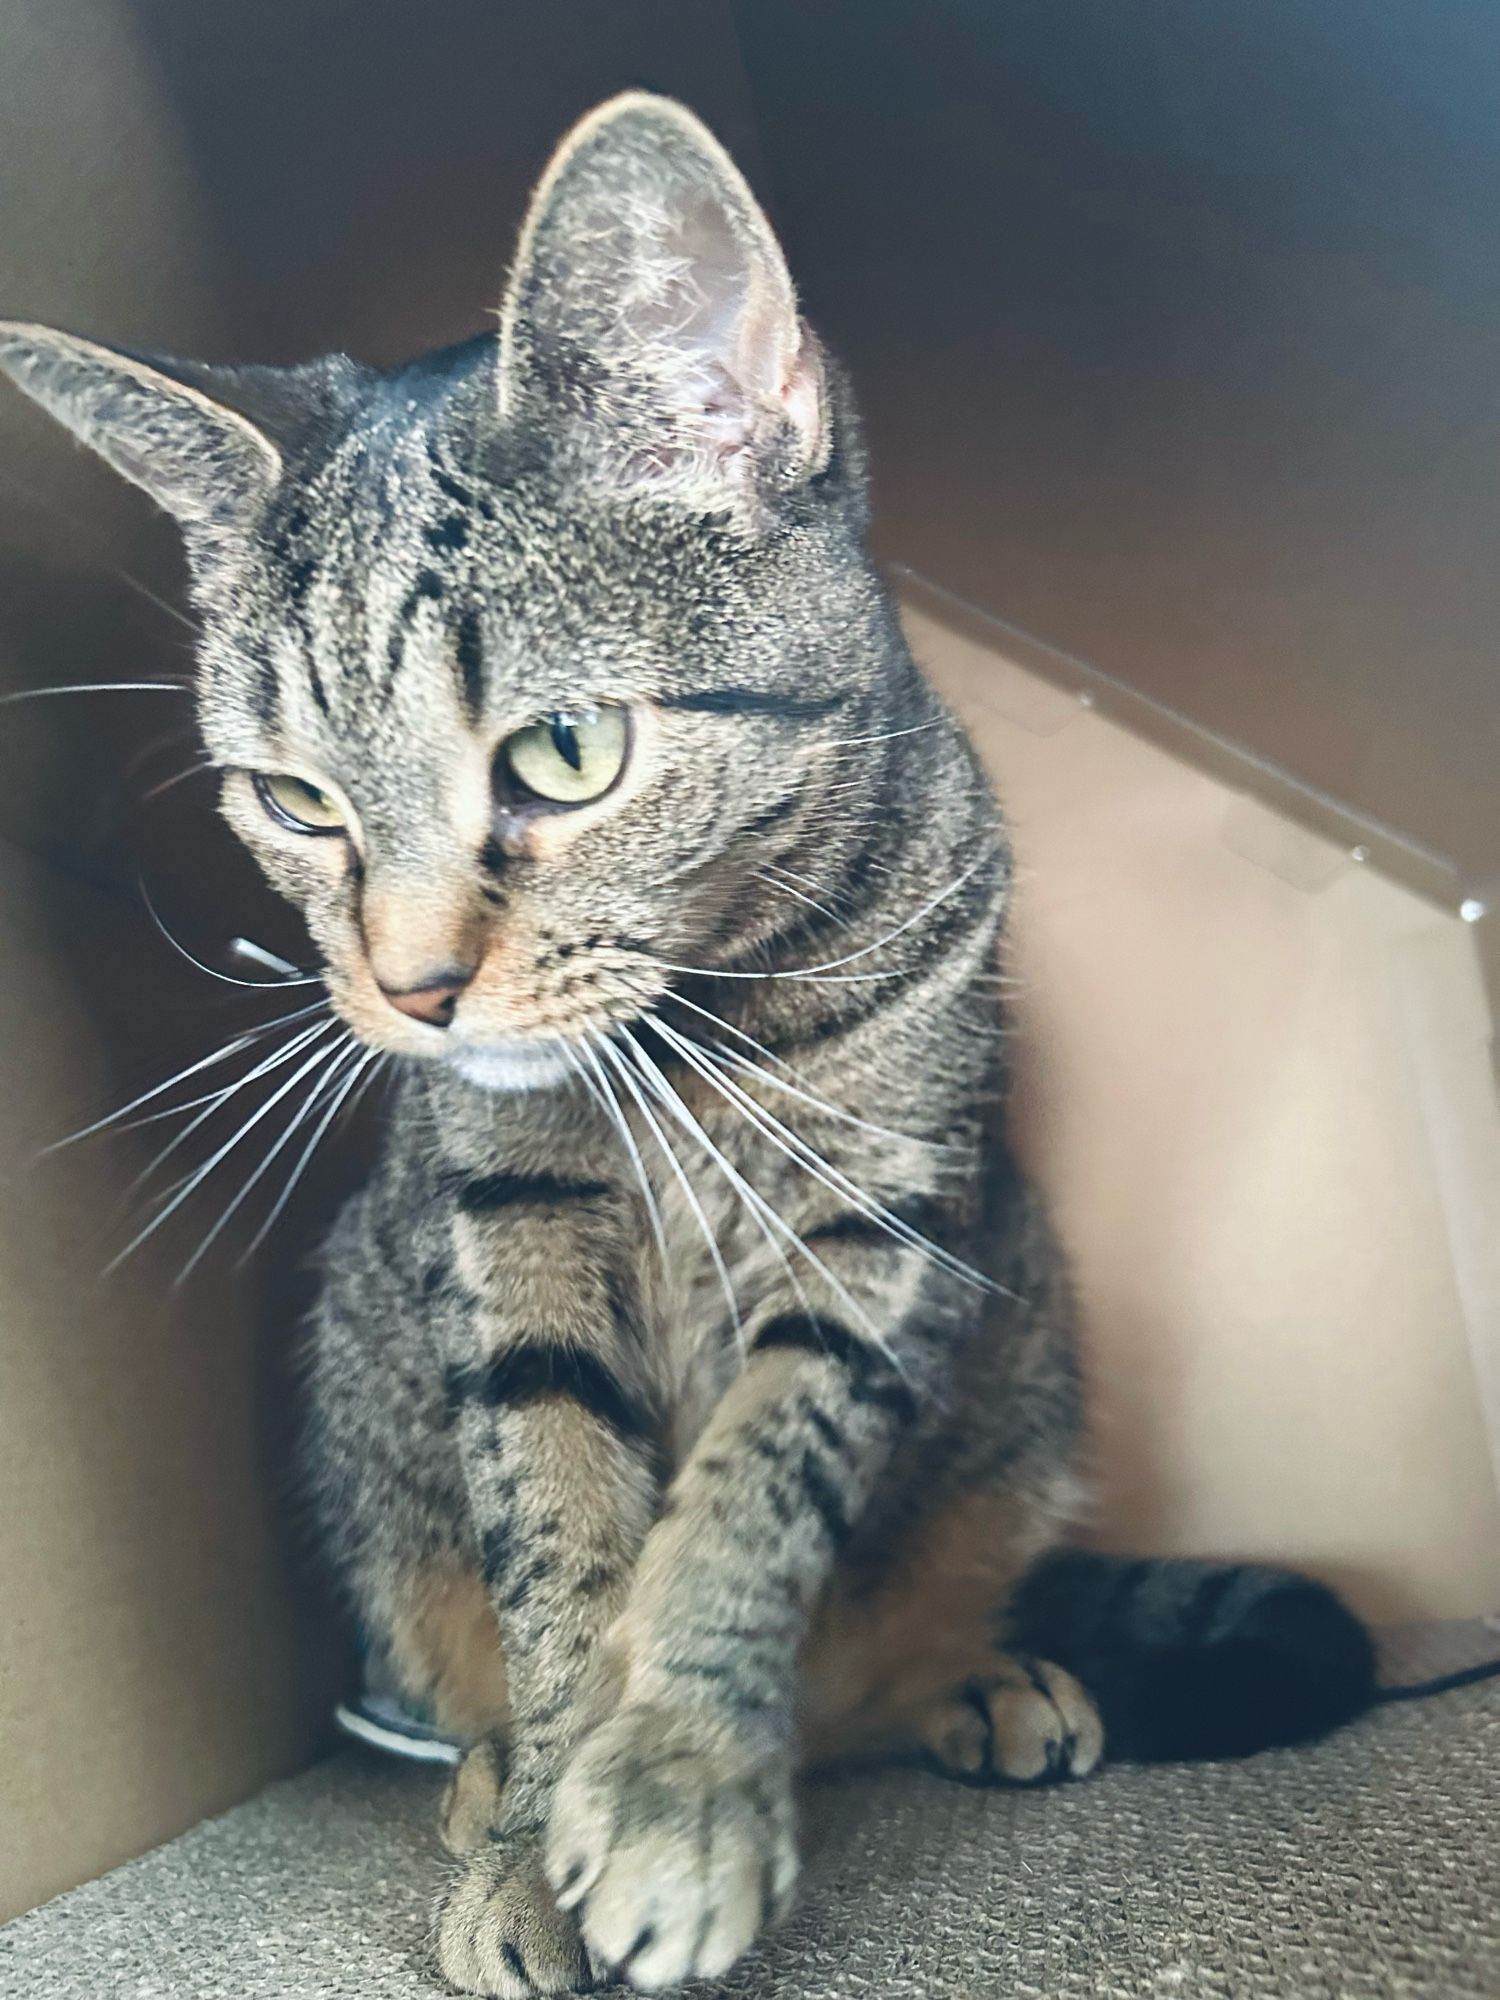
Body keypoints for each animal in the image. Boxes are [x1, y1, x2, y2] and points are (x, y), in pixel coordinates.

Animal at [0, 94, 1384, 2000]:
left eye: (566, 750)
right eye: (293, 801)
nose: (409, 990)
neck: (700, 1036)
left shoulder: (883, 1222)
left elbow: (749, 1492)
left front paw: (672, 1793)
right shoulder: (507, 1231)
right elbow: (562, 1536)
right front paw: (545, 1841)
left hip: (1023, 1336)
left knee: (882, 1660)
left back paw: (979, 1683)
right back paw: (488, 1779)